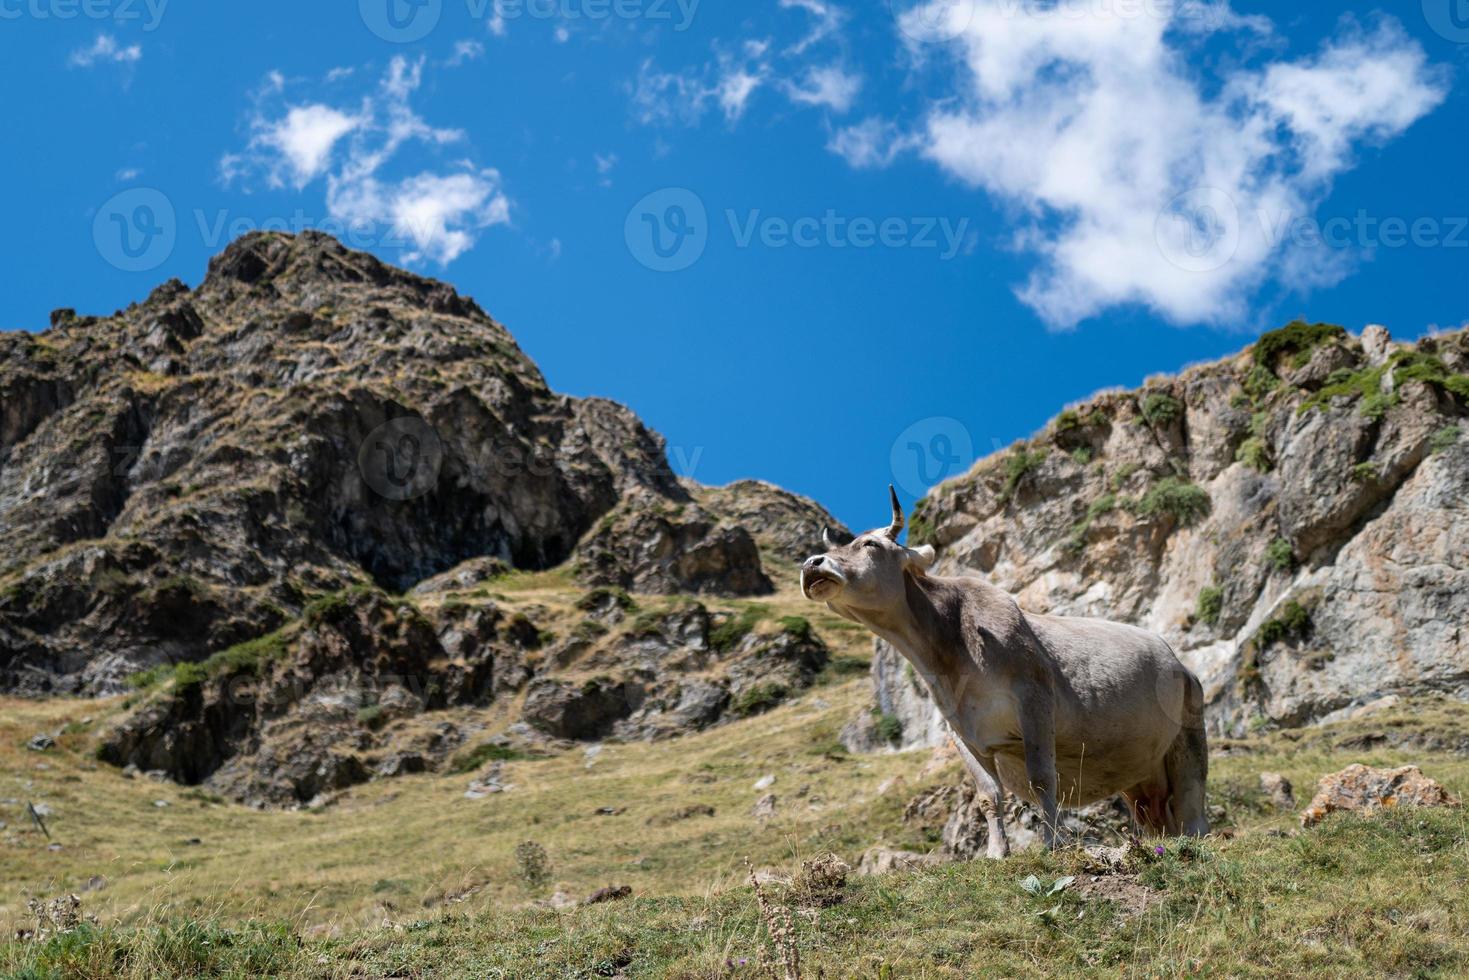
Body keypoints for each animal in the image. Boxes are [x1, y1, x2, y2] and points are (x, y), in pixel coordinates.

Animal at [805, 487, 1204, 852]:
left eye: (870, 544)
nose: (812, 564)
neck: (949, 654)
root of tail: (1176, 660)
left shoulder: (1035, 700)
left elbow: (1042, 778)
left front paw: (1052, 844)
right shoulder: (962, 731)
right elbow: (988, 794)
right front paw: (996, 853)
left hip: (1189, 731)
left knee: (1192, 798)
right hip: (1140, 774)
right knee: (1155, 813)